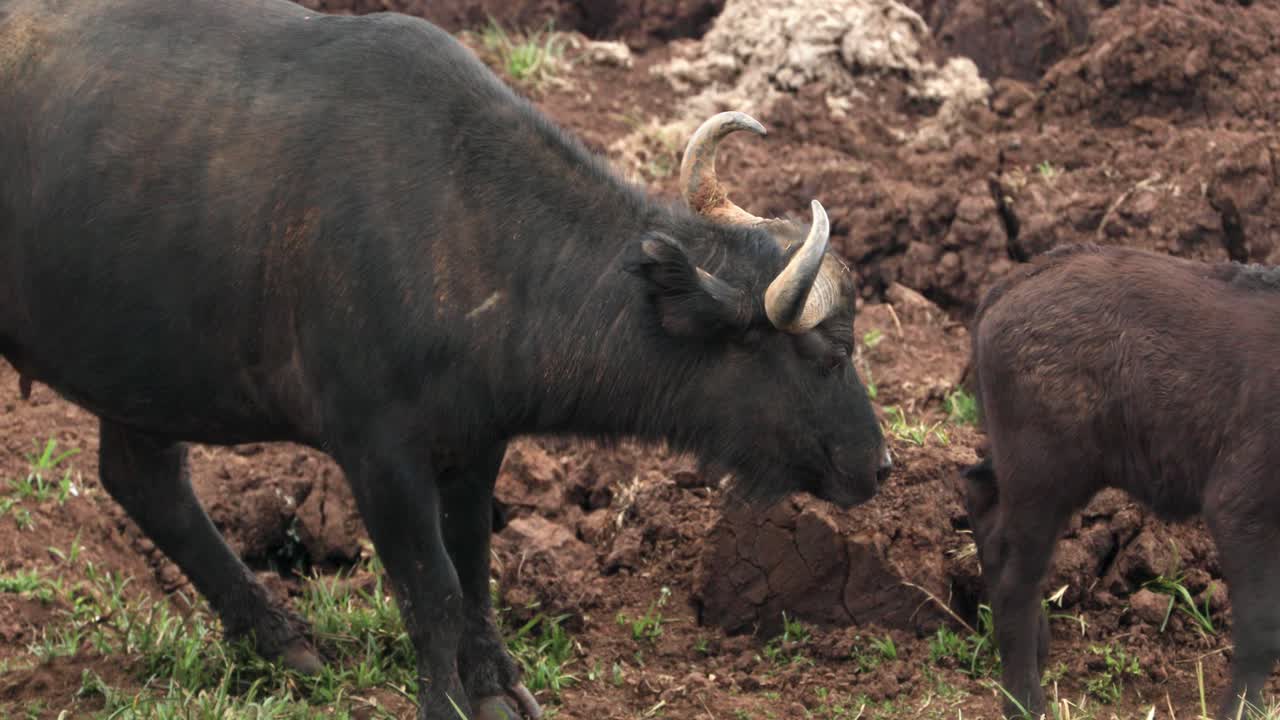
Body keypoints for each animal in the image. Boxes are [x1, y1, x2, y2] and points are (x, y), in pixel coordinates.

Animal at [0, 0, 889, 718]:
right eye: (829, 350)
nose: (878, 465)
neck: (463, 223)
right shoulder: (377, 454)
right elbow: (429, 586)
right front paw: (447, 700)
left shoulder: (475, 445)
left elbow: (473, 570)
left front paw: (496, 685)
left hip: (144, 370)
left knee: (143, 479)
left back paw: (281, 639)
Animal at [967, 242, 1280, 717]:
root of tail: (1017, 281)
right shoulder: (1241, 505)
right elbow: (1261, 626)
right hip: (1042, 478)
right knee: (1013, 577)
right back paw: (1026, 702)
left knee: (982, 502)